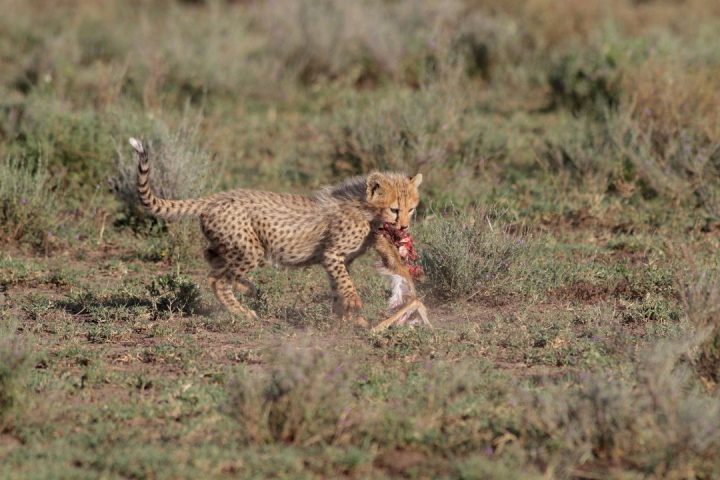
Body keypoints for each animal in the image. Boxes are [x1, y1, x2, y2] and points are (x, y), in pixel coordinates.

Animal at [129, 138, 422, 326]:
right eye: (395, 209)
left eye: (411, 209)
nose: (404, 227)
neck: (364, 209)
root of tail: (217, 197)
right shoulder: (332, 255)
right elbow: (346, 284)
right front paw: (354, 307)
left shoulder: (339, 260)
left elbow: (338, 286)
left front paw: (346, 316)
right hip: (250, 249)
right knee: (217, 279)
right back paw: (242, 313)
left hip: (232, 245)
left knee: (212, 261)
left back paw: (246, 287)